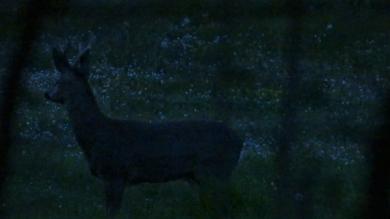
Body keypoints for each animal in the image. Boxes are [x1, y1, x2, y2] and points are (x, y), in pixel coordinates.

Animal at [44, 40, 242, 217]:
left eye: (59, 81)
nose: (47, 94)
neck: (97, 136)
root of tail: (240, 140)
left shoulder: (115, 172)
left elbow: (111, 212)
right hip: (201, 176)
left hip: (216, 171)